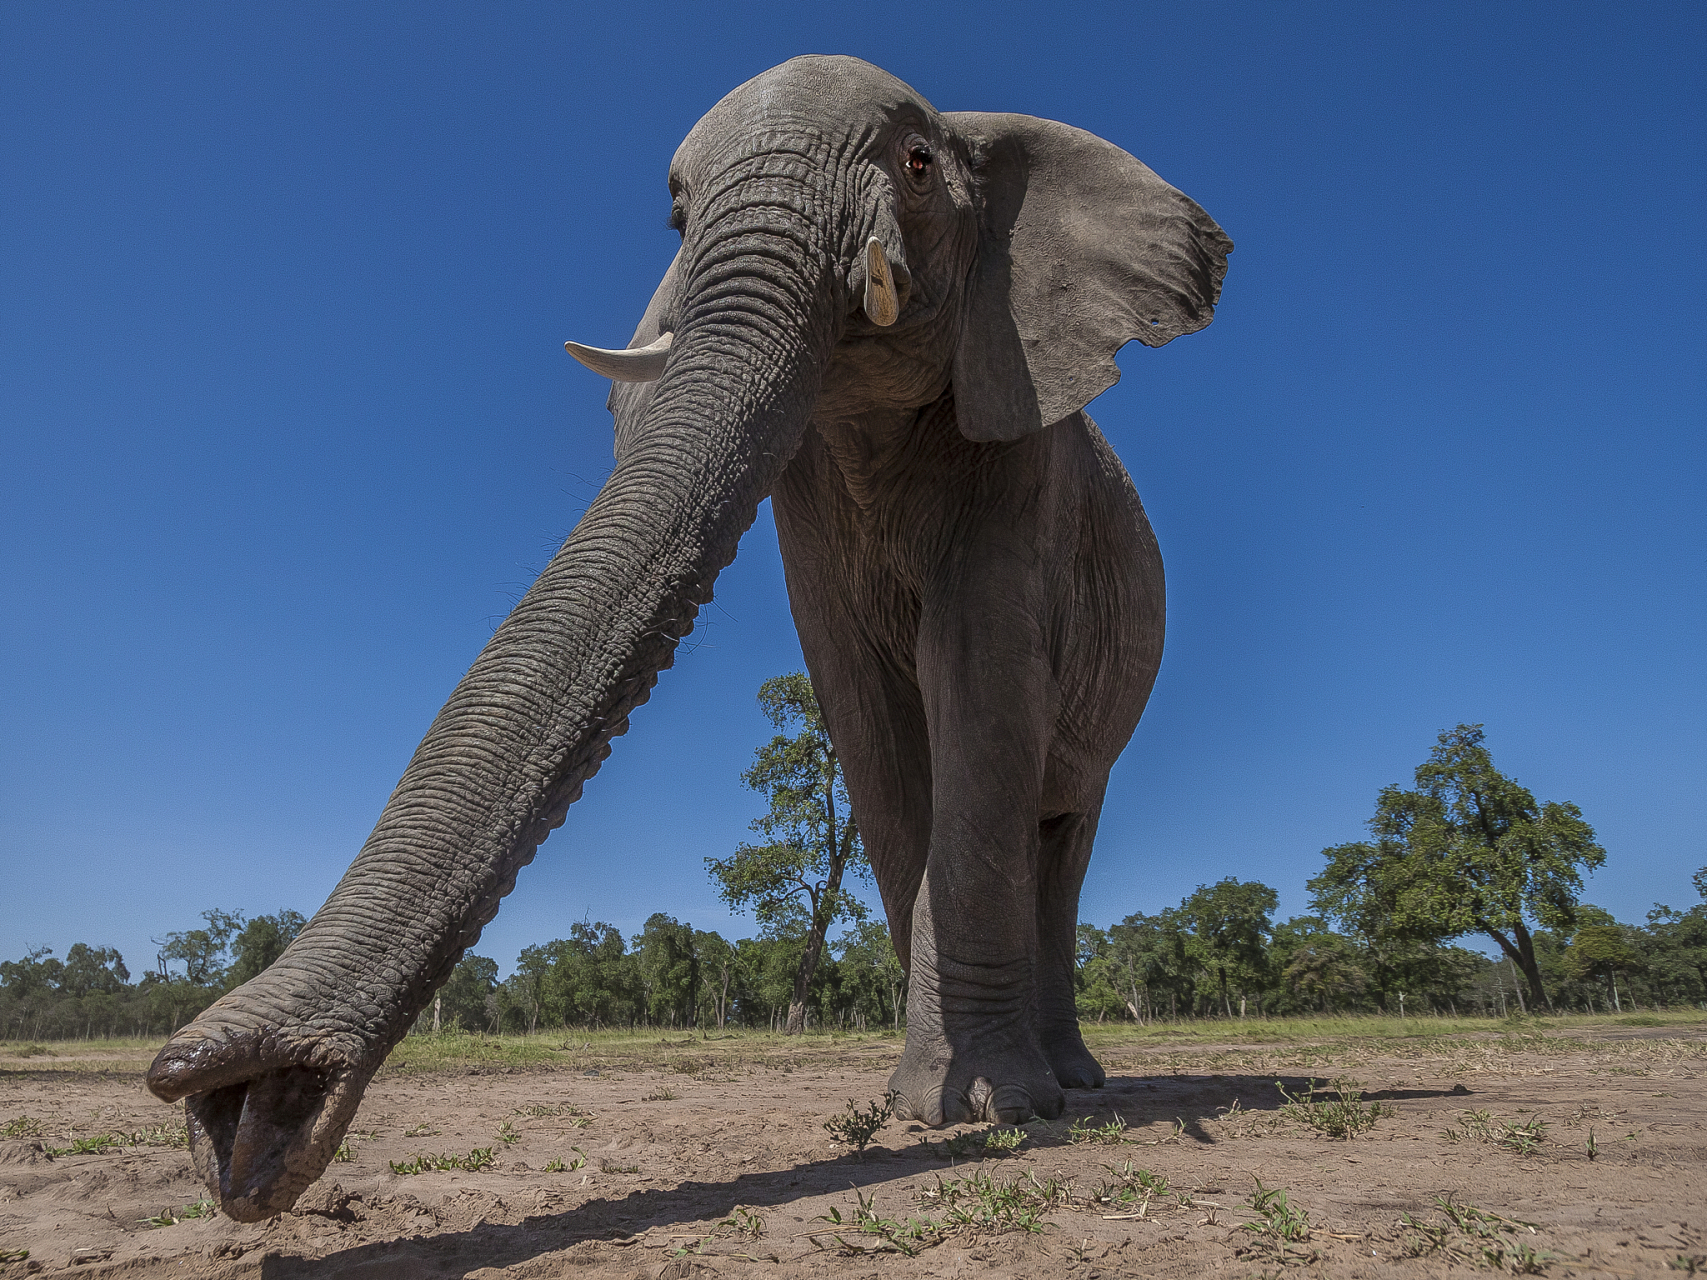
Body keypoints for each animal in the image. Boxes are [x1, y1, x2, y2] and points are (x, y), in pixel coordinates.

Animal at [146, 55, 1229, 1228]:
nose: (236, 1108)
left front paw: (990, 1107)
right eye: (674, 214)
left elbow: (977, 699)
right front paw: (922, 1105)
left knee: (1062, 836)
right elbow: (871, 728)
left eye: (916, 163)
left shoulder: (1021, 457)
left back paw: (1072, 1081)